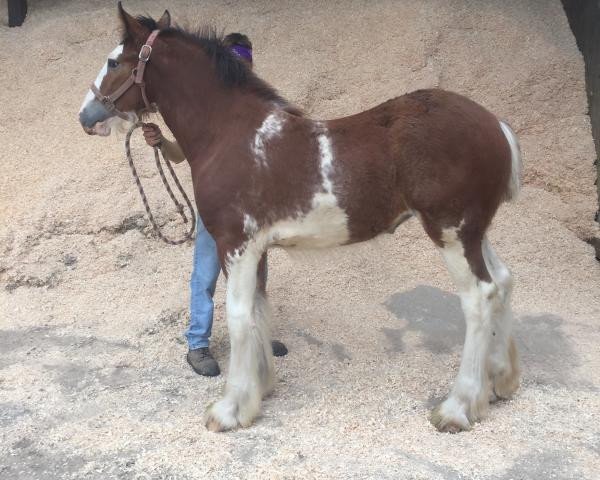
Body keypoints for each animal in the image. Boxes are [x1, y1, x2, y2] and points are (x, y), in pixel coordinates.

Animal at [78, 3, 520, 434]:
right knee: (501, 282)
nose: (86, 116)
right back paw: (501, 381)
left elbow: (238, 316)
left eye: (114, 60)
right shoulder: (256, 248)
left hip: (451, 231)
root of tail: (496, 125)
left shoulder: (235, 244)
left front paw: (229, 409)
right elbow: (258, 309)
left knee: (479, 298)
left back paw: (458, 407)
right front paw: (259, 390)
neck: (230, 134)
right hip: (475, 232)